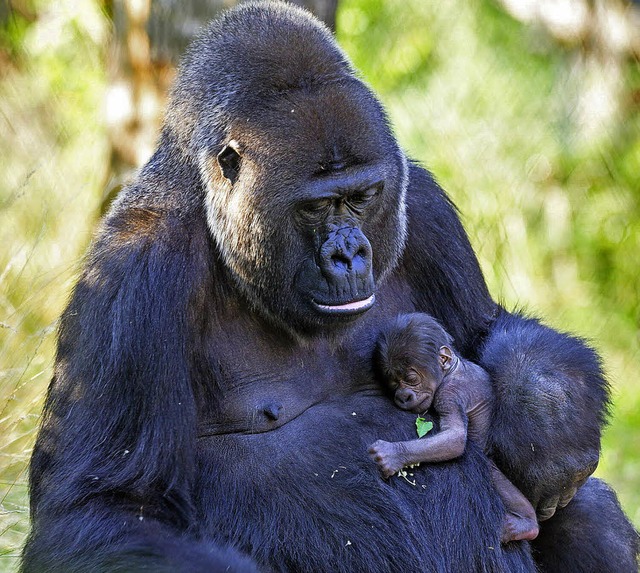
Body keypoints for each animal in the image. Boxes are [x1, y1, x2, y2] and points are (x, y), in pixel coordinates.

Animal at [370, 310, 540, 544]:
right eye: (393, 383)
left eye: (411, 378)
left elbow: (455, 438)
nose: (403, 396)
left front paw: (392, 454)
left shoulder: (447, 396)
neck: (453, 369)